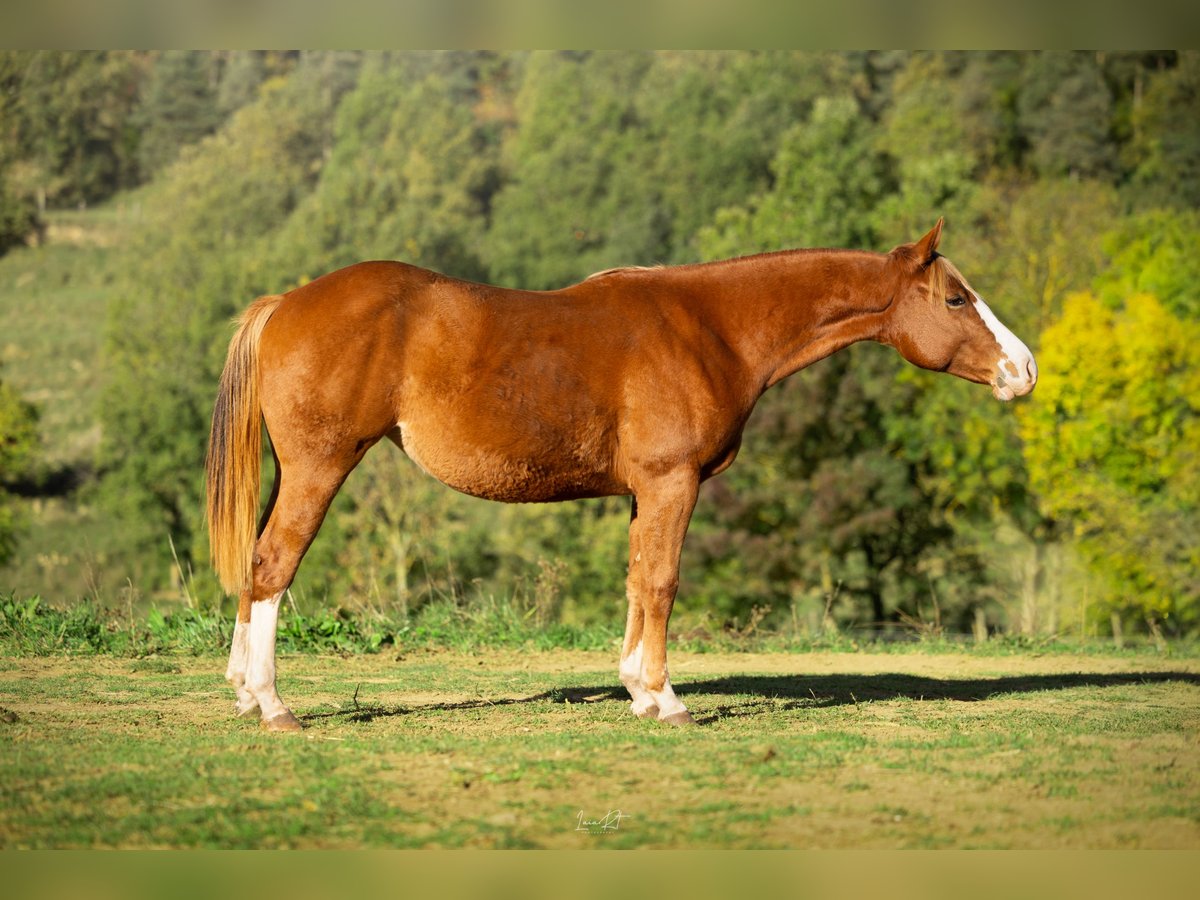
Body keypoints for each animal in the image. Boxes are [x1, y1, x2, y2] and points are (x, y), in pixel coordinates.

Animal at [206, 218, 1037, 732]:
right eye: (956, 297)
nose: (1023, 369)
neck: (709, 327)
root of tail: (285, 304)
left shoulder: (645, 492)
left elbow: (639, 581)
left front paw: (639, 689)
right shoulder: (673, 483)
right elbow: (662, 582)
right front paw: (667, 701)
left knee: (254, 566)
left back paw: (244, 694)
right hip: (319, 468)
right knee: (273, 565)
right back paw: (273, 706)